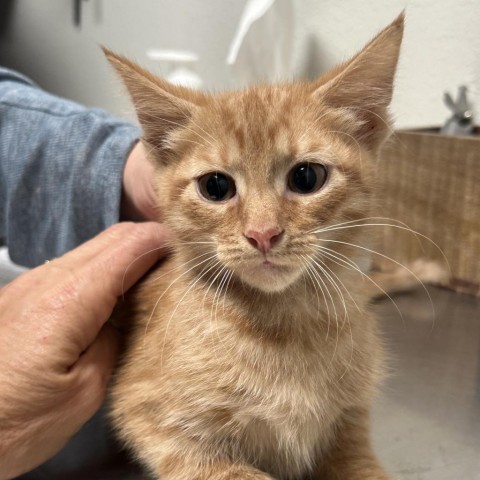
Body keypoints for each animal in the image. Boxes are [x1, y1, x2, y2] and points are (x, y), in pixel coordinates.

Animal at [106, 14, 404, 480]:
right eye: (215, 186)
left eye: (306, 177)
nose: (262, 234)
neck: (287, 326)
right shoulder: (148, 415)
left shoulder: (351, 421)